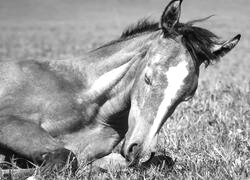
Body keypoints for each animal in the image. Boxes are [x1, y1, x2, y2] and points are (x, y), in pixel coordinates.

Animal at [0, 0, 241, 176]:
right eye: (148, 78)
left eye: (186, 97)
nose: (139, 149)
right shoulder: (9, 122)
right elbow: (65, 157)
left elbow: (158, 161)